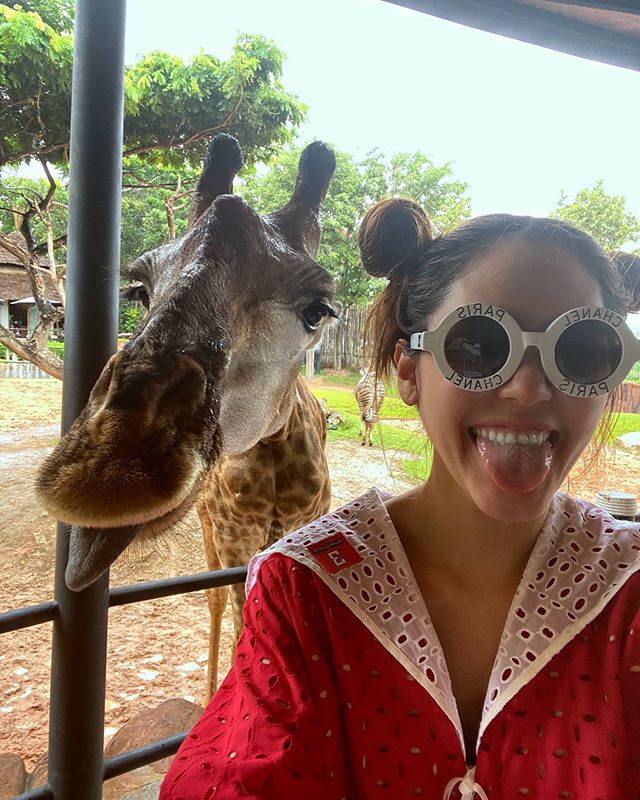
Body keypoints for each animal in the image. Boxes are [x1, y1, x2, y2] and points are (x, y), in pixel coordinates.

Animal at [36, 134, 339, 697]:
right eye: (139, 289)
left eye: (317, 310)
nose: (98, 480)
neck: (274, 458)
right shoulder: (235, 538)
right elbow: (244, 617)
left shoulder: (303, 529)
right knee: (216, 600)